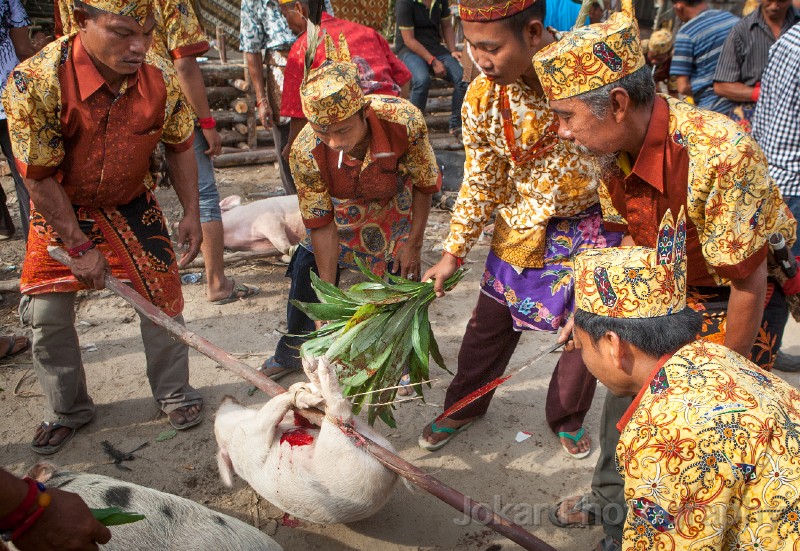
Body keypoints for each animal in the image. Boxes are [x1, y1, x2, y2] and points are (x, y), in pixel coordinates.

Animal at [214, 358, 400, 528]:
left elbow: (297, 413)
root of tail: (392, 479)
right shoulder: (250, 436)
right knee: (339, 412)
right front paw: (301, 393)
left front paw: (303, 391)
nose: (225, 396)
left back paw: (312, 366)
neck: (234, 429)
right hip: (339, 456)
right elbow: (272, 407)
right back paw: (321, 367)